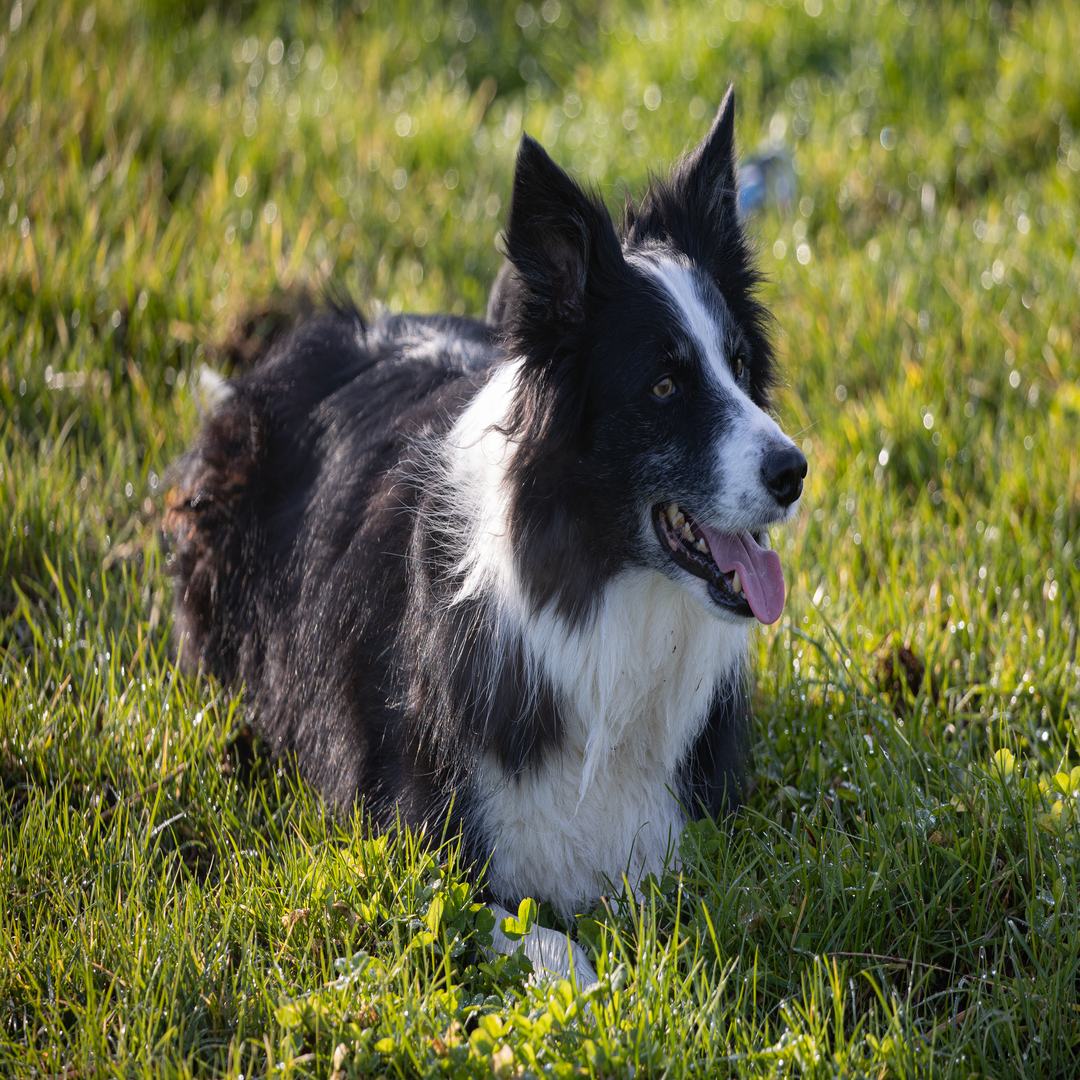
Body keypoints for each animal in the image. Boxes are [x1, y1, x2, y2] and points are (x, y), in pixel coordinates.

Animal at [166, 88, 803, 984]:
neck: (593, 591)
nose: (795, 471)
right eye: (664, 385)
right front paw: (610, 987)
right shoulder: (414, 842)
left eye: (742, 366)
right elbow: (547, 939)